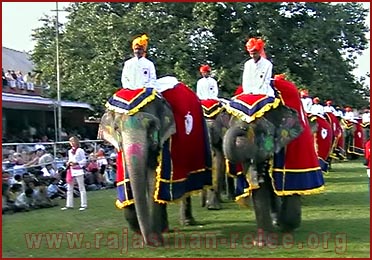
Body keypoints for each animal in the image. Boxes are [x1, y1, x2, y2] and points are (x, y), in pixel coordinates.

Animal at [99, 77, 212, 246]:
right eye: (116, 128)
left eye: (151, 126)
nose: (147, 241)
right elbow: (127, 180)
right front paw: (142, 233)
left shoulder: (167, 139)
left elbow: (155, 180)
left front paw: (156, 241)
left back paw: (184, 223)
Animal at [222, 76, 324, 245]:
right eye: (229, 125)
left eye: (263, 132)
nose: (242, 129)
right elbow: (260, 187)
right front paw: (264, 243)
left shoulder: (293, 149)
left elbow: (290, 185)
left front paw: (288, 226)